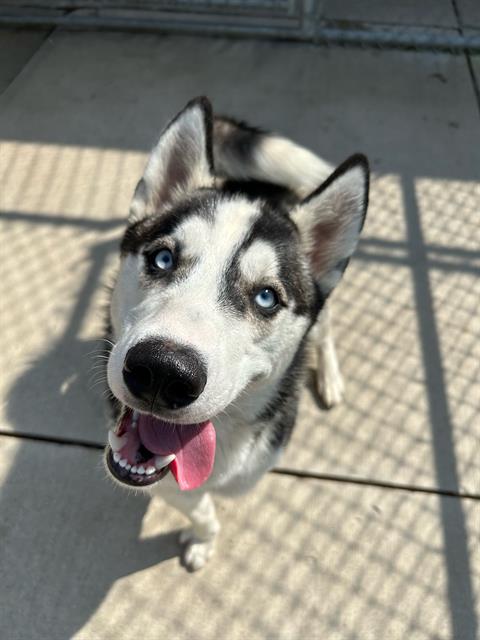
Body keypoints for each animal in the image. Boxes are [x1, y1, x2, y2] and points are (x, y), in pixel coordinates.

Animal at [103, 99, 370, 568]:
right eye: (163, 258)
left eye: (266, 298)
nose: (162, 373)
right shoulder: (165, 480)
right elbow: (198, 505)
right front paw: (203, 537)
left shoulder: (251, 472)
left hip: (324, 314)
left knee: (324, 333)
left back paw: (330, 376)